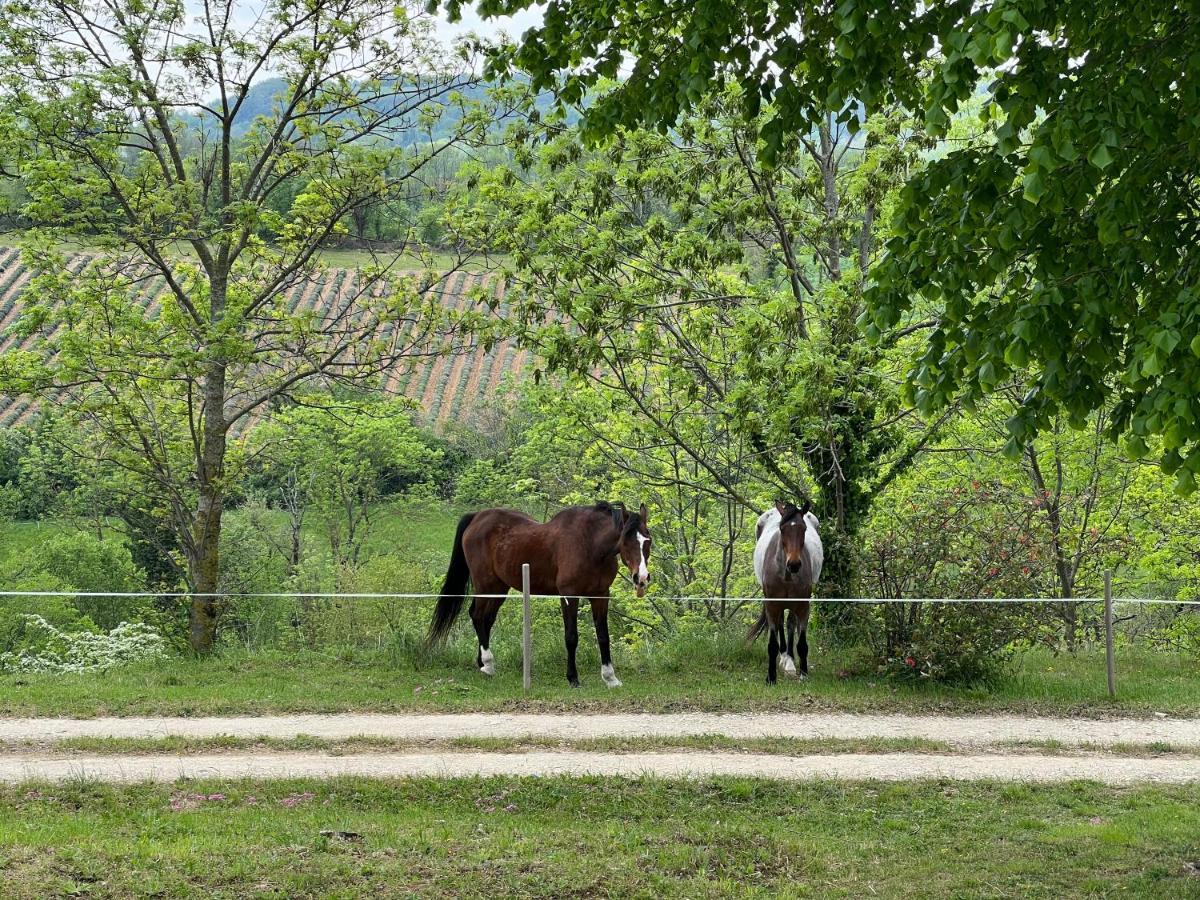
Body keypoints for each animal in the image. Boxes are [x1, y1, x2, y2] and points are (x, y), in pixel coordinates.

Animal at [427, 501, 652, 691]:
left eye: (648, 541)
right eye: (626, 540)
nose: (641, 577)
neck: (590, 545)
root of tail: (477, 517)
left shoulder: (600, 595)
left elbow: (603, 636)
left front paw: (610, 678)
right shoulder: (569, 596)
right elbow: (571, 637)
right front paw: (573, 678)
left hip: (500, 587)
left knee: (486, 620)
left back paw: (481, 663)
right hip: (485, 584)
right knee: (477, 616)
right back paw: (488, 665)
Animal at [748, 504, 825, 686]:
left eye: (803, 529)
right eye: (782, 529)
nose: (794, 564)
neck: (786, 574)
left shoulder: (803, 607)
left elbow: (802, 642)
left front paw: (804, 673)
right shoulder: (772, 606)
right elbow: (772, 644)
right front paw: (771, 677)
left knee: (790, 623)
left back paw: (789, 660)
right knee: (780, 623)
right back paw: (784, 658)